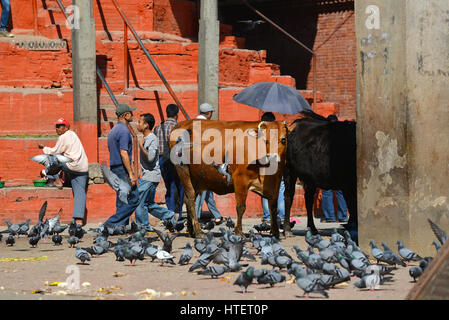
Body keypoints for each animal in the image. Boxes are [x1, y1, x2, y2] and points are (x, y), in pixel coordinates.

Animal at [282, 110, 356, 238]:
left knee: (308, 200)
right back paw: (287, 229)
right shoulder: (348, 185)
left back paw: (312, 228)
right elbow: (352, 206)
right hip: (289, 171)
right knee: (288, 196)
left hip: (309, 179)